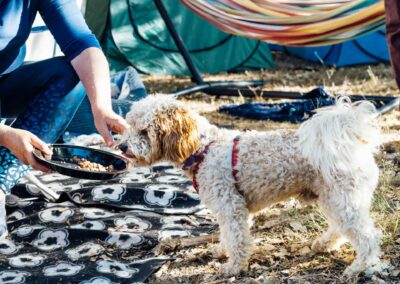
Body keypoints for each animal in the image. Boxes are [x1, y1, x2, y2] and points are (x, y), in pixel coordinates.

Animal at [116, 94, 384, 276]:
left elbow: (237, 239)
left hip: (343, 198)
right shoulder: (231, 209)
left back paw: (359, 267)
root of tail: (352, 141)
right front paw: (222, 251)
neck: (203, 148)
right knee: (341, 228)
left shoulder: (230, 207)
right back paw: (324, 244)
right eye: (130, 126)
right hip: (334, 198)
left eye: (144, 131)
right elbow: (228, 235)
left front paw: (233, 266)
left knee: (368, 237)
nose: (122, 147)